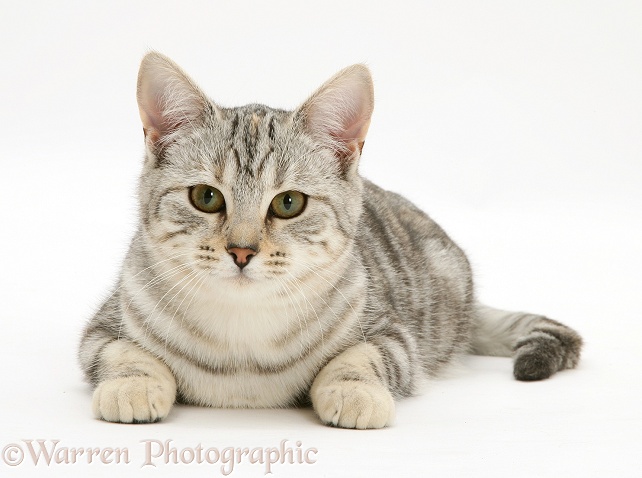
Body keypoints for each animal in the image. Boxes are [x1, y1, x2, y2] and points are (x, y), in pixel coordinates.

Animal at [76, 52, 580, 430]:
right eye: (206, 197)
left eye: (288, 203)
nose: (241, 251)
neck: (242, 338)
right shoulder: (100, 328)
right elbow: (123, 352)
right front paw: (133, 382)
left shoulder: (395, 337)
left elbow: (362, 357)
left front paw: (353, 390)